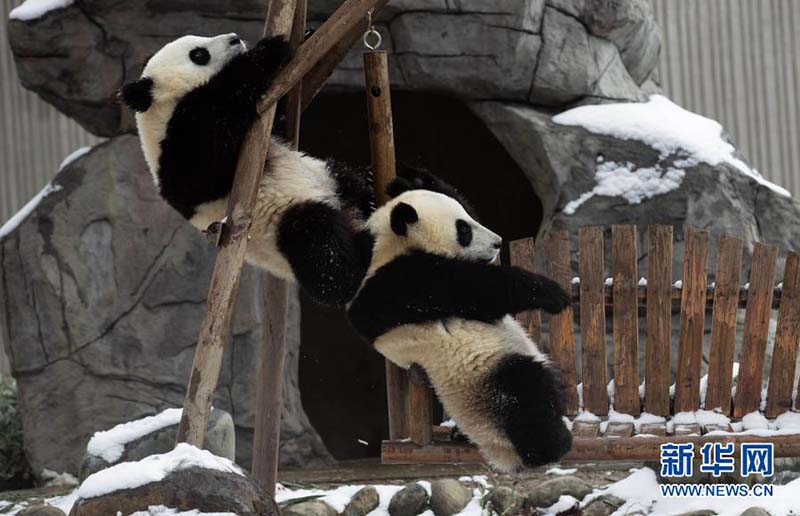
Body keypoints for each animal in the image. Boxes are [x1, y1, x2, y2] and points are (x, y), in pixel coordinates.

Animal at [121, 34, 376, 306]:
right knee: (317, 244)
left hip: (327, 176)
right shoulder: (177, 150)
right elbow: (209, 154)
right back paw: (358, 255)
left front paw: (305, 36)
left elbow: (280, 125)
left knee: (350, 182)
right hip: (283, 224)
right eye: (198, 54)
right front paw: (267, 50)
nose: (235, 39)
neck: (162, 112)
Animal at [346, 180, 572, 472]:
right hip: (486, 377)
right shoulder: (402, 284)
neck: (391, 244)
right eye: (463, 229)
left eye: (469, 218)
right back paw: (553, 445)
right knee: (525, 395)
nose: (498, 243)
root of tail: (499, 451)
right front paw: (551, 293)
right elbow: (476, 289)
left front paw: (408, 180)